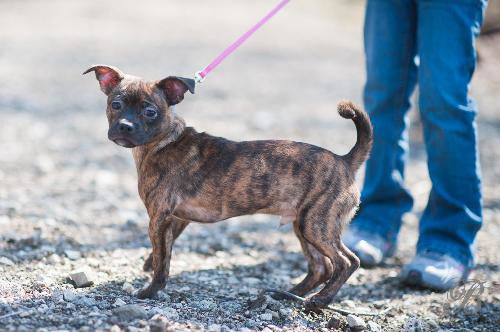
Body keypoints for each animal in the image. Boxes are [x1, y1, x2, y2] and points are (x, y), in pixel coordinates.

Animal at [83, 65, 372, 308]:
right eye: (116, 104)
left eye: (150, 111)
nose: (125, 126)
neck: (163, 141)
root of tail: (344, 161)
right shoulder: (176, 219)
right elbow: (164, 250)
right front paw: (149, 264)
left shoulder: (159, 217)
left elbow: (163, 261)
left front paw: (150, 291)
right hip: (303, 224)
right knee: (321, 267)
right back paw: (288, 294)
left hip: (316, 224)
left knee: (346, 262)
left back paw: (320, 300)